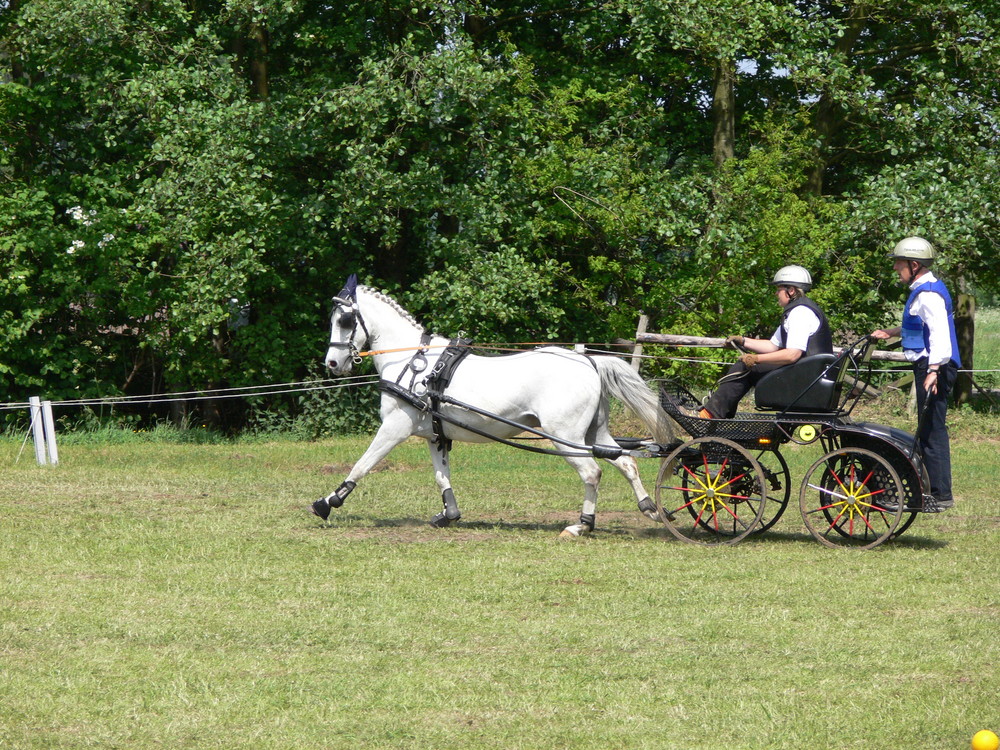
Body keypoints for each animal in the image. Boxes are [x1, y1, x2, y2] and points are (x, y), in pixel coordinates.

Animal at [312, 280, 672, 536]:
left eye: (346, 320)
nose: (332, 363)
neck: (413, 361)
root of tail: (589, 362)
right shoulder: (435, 435)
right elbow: (442, 477)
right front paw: (449, 516)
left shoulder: (395, 427)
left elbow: (363, 464)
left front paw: (327, 502)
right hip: (594, 433)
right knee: (626, 462)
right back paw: (650, 507)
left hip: (565, 435)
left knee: (592, 472)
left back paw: (582, 524)